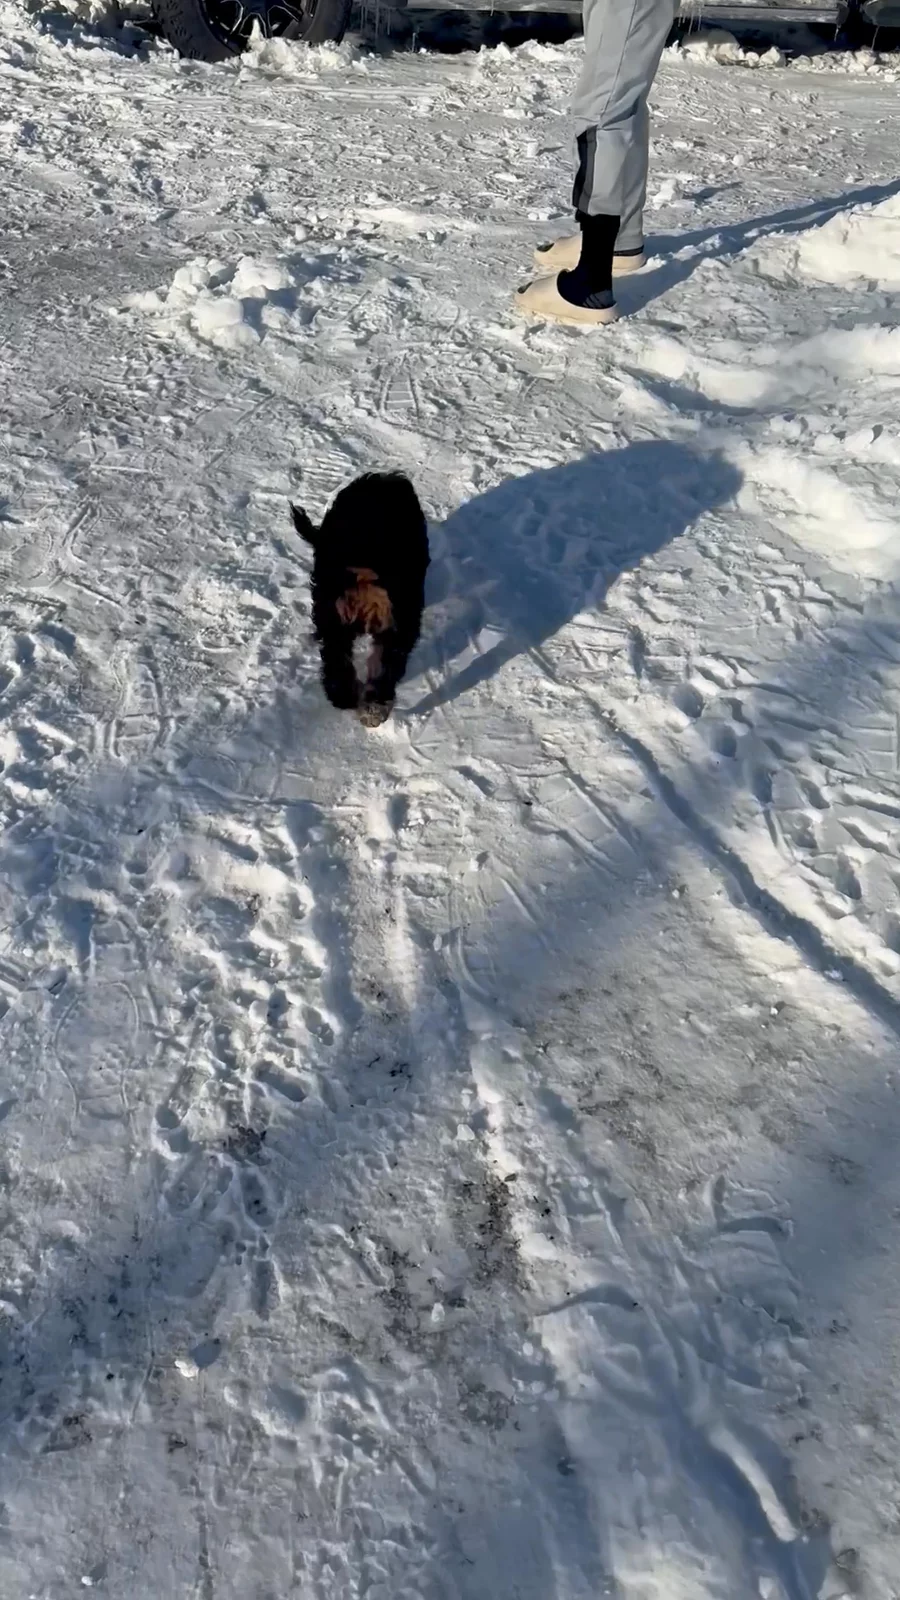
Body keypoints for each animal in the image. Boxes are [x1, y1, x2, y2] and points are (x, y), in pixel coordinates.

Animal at [291, 472, 429, 728]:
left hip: (334, 611)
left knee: (339, 657)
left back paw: (347, 698)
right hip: (394, 616)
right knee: (386, 661)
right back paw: (373, 705)